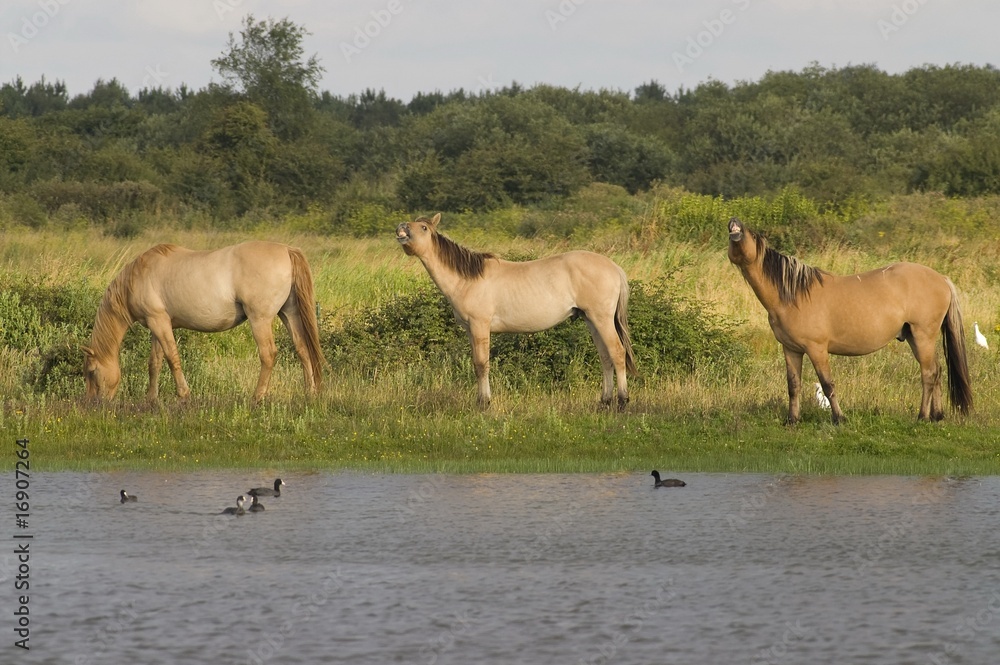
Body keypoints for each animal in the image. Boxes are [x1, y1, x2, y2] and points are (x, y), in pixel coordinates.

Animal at [83, 241, 325, 404]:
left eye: (91, 372)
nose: (94, 403)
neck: (139, 275)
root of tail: (286, 250)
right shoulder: (157, 326)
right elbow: (155, 363)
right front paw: (151, 399)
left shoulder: (159, 323)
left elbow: (172, 358)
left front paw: (184, 395)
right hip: (289, 314)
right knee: (303, 349)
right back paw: (310, 394)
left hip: (260, 319)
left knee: (268, 355)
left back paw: (256, 397)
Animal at [395, 213, 636, 408]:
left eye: (424, 228)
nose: (401, 228)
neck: (467, 280)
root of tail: (614, 268)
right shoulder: (470, 330)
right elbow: (476, 364)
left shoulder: (480, 326)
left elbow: (482, 365)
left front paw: (484, 403)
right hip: (591, 320)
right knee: (605, 357)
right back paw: (605, 401)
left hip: (601, 319)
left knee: (617, 352)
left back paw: (622, 401)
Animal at [727, 217, 972, 424]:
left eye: (752, 234)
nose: (734, 222)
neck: (793, 295)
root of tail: (942, 279)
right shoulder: (791, 349)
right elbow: (793, 385)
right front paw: (792, 420)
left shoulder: (817, 349)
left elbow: (827, 384)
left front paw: (839, 419)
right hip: (914, 337)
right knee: (937, 371)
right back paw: (937, 416)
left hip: (923, 336)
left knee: (928, 373)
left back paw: (922, 416)